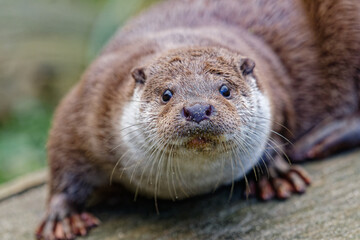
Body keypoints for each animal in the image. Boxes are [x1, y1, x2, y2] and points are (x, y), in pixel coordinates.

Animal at [35, 0, 360, 240]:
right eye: (167, 94)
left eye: (225, 90)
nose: (198, 109)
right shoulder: (86, 103)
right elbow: (63, 158)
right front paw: (61, 217)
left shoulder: (276, 93)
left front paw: (276, 173)